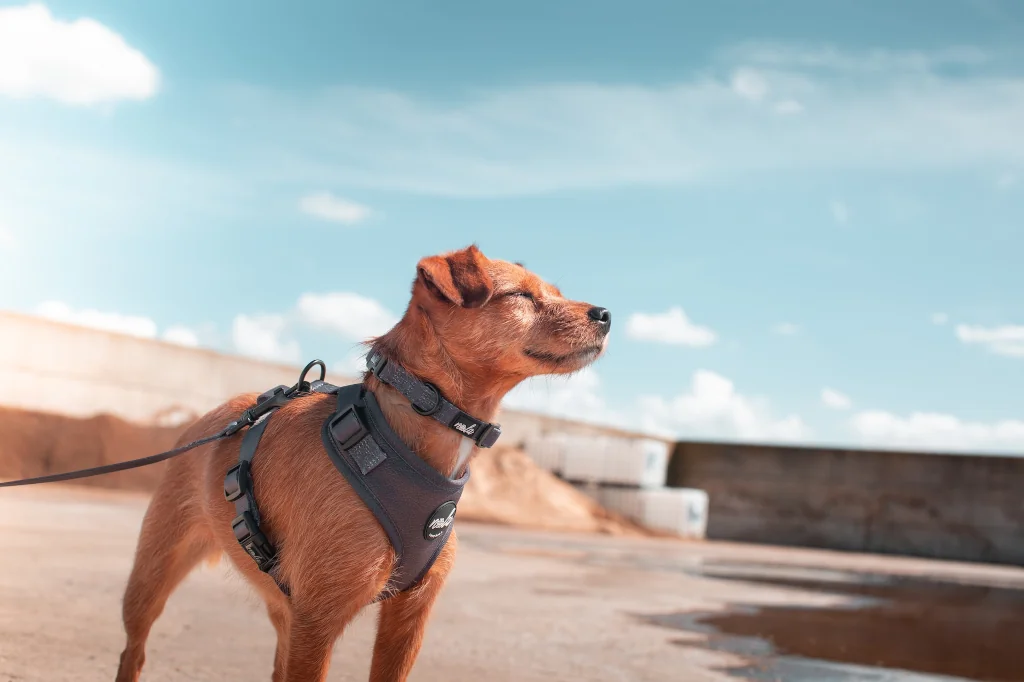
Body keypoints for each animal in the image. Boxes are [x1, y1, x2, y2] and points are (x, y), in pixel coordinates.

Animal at [114, 244, 606, 679]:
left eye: (556, 292)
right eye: (520, 296)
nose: (605, 314)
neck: (411, 417)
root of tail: (207, 420)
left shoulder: (406, 615)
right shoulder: (318, 620)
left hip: (285, 610)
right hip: (152, 577)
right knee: (133, 651)